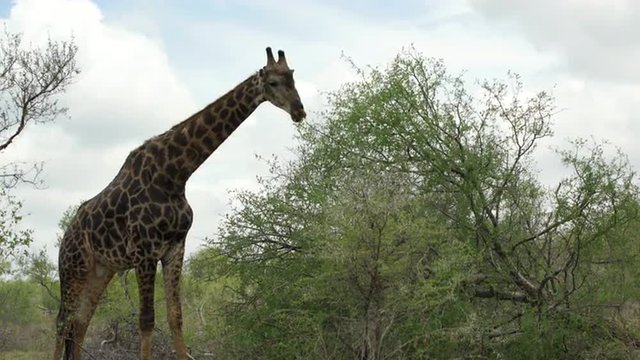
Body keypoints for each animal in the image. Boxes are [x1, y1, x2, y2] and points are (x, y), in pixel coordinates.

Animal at [51, 46, 306, 358]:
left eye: (293, 77)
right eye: (272, 82)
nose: (299, 111)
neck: (175, 174)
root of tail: (66, 236)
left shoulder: (175, 248)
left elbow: (176, 317)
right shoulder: (145, 251)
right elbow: (147, 320)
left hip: (101, 270)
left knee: (80, 322)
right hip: (73, 268)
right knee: (63, 322)